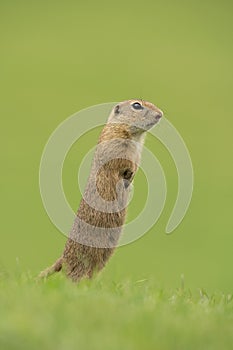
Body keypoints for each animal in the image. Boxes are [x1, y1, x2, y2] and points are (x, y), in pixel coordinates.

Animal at [38, 98, 162, 282]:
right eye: (136, 105)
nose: (161, 114)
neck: (135, 136)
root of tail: (63, 257)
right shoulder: (116, 142)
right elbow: (122, 162)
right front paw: (129, 175)